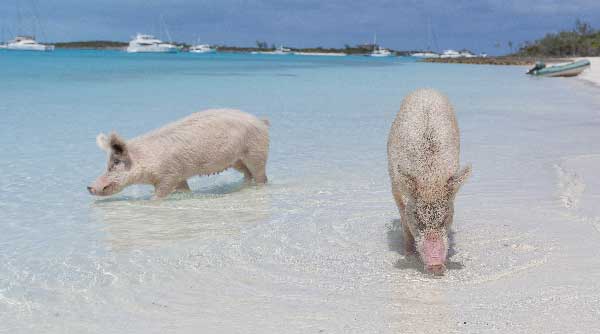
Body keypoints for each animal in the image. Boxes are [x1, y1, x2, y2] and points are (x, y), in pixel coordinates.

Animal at [87, 109, 270, 198]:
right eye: (107, 163)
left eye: (116, 163)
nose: (89, 187)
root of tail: (261, 121)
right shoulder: (180, 176)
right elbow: (184, 190)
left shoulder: (169, 175)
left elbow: (159, 195)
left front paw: (152, 200)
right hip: (237, 161)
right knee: (247, 174)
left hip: (257, 153)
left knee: (261, 176)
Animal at [386, 88, 472, 274]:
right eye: (418, 220)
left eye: (446, 218)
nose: (436, 266)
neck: (430, 178)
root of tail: (426, 89)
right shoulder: (396, 188)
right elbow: (404, 219)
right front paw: (408, 255)